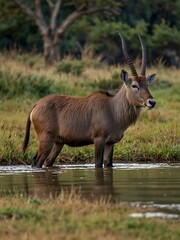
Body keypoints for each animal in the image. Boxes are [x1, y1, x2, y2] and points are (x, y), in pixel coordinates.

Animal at [23, 32, 156, 168]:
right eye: (134, 85)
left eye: (147, 84)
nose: (151, 102)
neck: (112, 108)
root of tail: (37, 105)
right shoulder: (99, 140)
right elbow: (98, 164)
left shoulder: (110, 143)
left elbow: (108, 164)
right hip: (47, 140)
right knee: (37, 161)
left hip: (58, 143)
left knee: (46, 162)